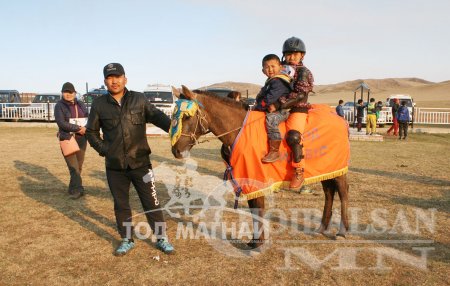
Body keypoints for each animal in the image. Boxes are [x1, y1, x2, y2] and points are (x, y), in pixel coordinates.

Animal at [171, 85, 350, 248]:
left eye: (186, 117)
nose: (176, 151)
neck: (239, 130)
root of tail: (340, 119)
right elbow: (253, 208)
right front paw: (254, 240)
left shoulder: (255, 178)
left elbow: (257, 207)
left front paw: (259, 242)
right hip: (327, 169)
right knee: (329, 192)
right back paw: (322, 227)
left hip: (339, 170)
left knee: (342, 193)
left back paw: (342, 231)